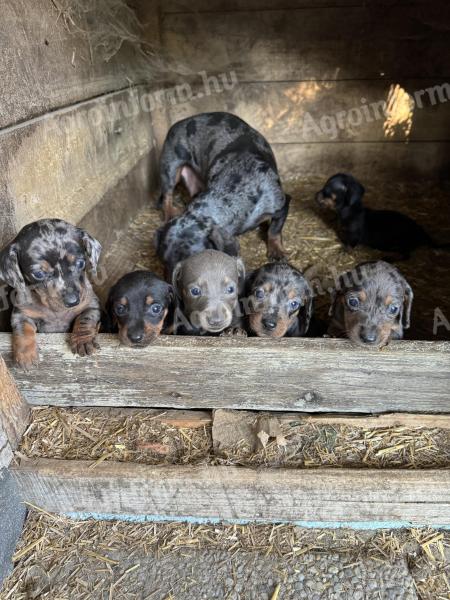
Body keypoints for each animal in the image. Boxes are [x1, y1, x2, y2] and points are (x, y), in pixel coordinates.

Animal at [155, 110, 290, 274]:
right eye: (163, 260)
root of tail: (176, 124)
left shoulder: (281, 203)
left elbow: (274, 230)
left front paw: (277, 255)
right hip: (169, 165)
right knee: (167, 194)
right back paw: (169, 215)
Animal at [314, 172, 448, 258]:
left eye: (326, 190)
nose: (315, 195)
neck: (348, 212)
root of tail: (422, 233)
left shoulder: (354, 236)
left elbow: (349, 245)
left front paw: (344, 252)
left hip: (402, 242)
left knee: (406, 256)